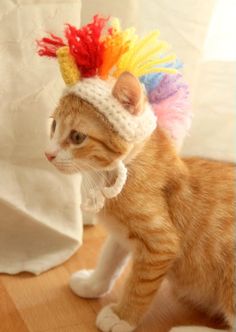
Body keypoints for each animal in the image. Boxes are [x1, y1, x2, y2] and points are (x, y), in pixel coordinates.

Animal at [44, 72, 234, 332]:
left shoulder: (160, 246)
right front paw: (93, 285)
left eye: (77, 137)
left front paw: (122, 316)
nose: (48, 154)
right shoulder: (120, 234)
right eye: (53, 125)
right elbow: (109, 262)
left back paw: (187, 329)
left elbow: (139, 287)